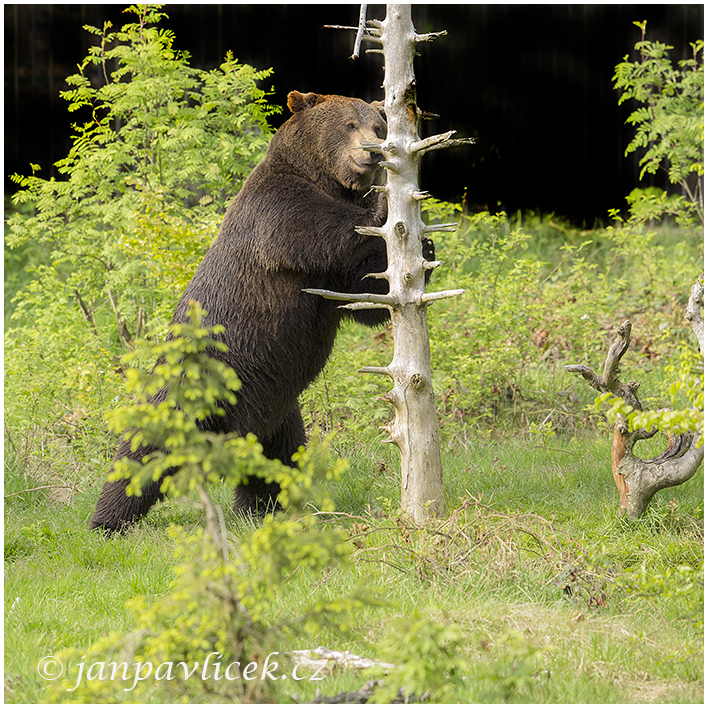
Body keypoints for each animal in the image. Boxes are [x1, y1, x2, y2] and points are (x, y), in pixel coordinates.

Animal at [88, 90, 432, 532]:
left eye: (378, 126)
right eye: (349, 125)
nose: (372, 154)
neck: (326, 180)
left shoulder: (332, 273)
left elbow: (363, 290)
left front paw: (425, 249)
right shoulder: (277, 214)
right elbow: (323, 230)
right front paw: (382, 203)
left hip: (276, 405)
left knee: (279, 457)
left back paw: (262, 507)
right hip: (194, 383)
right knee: (144, 449)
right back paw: (107, 520)